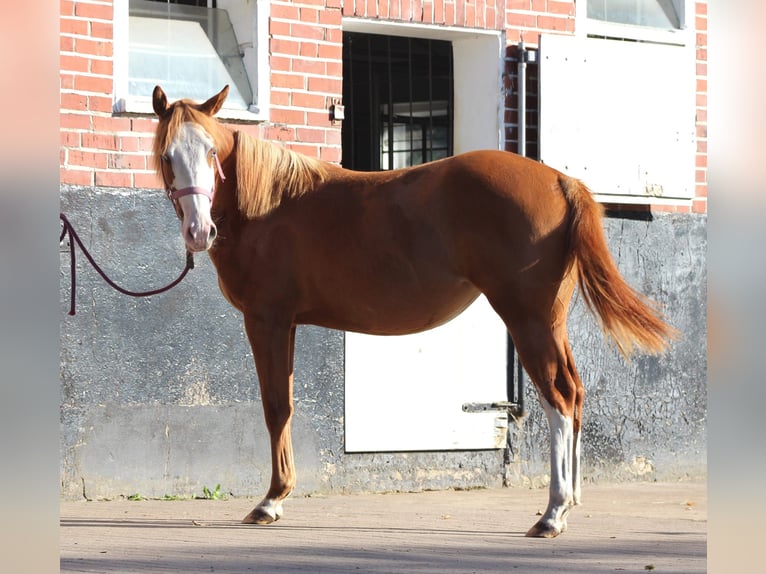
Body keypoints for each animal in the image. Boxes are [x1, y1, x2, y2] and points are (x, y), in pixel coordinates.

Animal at [151, 84, 676, 538]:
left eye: (211, 153)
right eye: (167, 155)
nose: (199, 232)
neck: (267, 205)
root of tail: (560, 181)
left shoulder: (268, 320)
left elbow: (277, 406)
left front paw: (271, 501)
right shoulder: (284, 323)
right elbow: (284, 403)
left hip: (529, 319)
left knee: (560, 398)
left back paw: (552, 513)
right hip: (551, 322)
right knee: (576, 392)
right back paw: (571, 501)